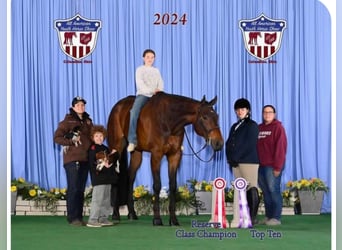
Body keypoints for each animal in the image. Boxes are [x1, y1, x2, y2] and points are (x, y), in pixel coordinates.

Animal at [107, 91, 224, 225]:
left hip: (137, 153)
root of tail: (117, 107)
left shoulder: (174, 156)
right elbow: (157, 185)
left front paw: (173, 219)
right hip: (116, 148)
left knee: (130, 177)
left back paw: (132, 213)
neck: (169, 121)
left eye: (216, 116)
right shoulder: (156, 155)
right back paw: (116, 214)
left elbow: (173, 185)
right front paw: (157, 219)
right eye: (204, 117)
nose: (219, 143)